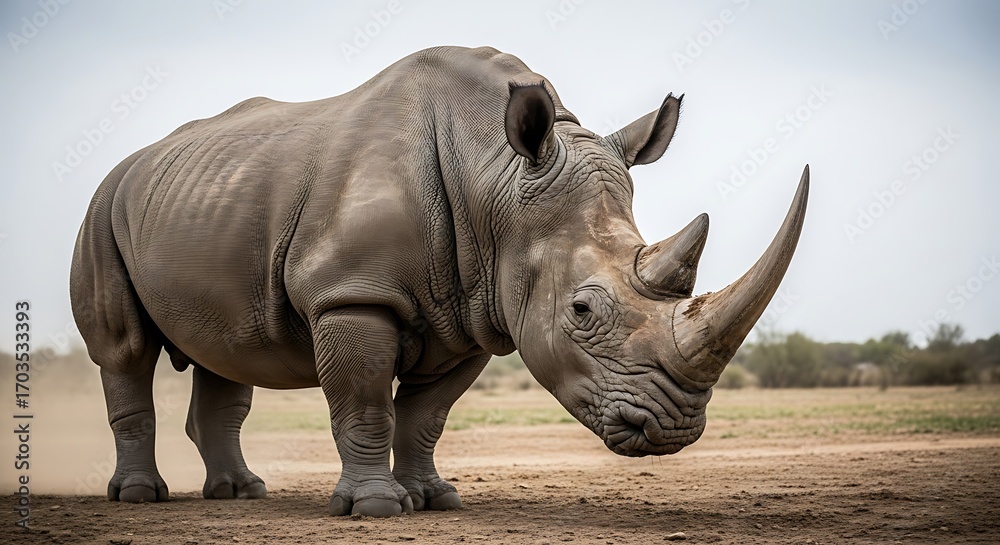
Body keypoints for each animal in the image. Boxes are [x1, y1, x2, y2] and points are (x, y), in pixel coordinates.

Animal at [71, 46, 808, 517]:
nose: (675, 428)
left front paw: (434, 499)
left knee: (226, 353)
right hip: (103, 206)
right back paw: (140, 497)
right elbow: (367, 403)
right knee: (124, 350)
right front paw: (375, 508)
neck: (498, 178)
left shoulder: (476, 313)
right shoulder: (354, 293)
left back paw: (240, 493)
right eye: (580, 310)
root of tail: (133, 162)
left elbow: (426, 416)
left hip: (203, 202)